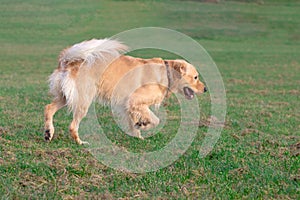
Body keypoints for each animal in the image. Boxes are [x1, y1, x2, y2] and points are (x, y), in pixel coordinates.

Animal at [44, 38, 206, 145]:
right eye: (195, 77)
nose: (205, 89)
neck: (166, 73)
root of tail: (67, 61)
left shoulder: (129, 105)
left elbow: (134, 123)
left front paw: (138, 134)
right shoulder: (135, 100)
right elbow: (155, 120)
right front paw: (143, 125)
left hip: (65, 97)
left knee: (48, 108)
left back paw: (48, 132)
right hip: (84, 100)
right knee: (72, 126)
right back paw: (80, 142)